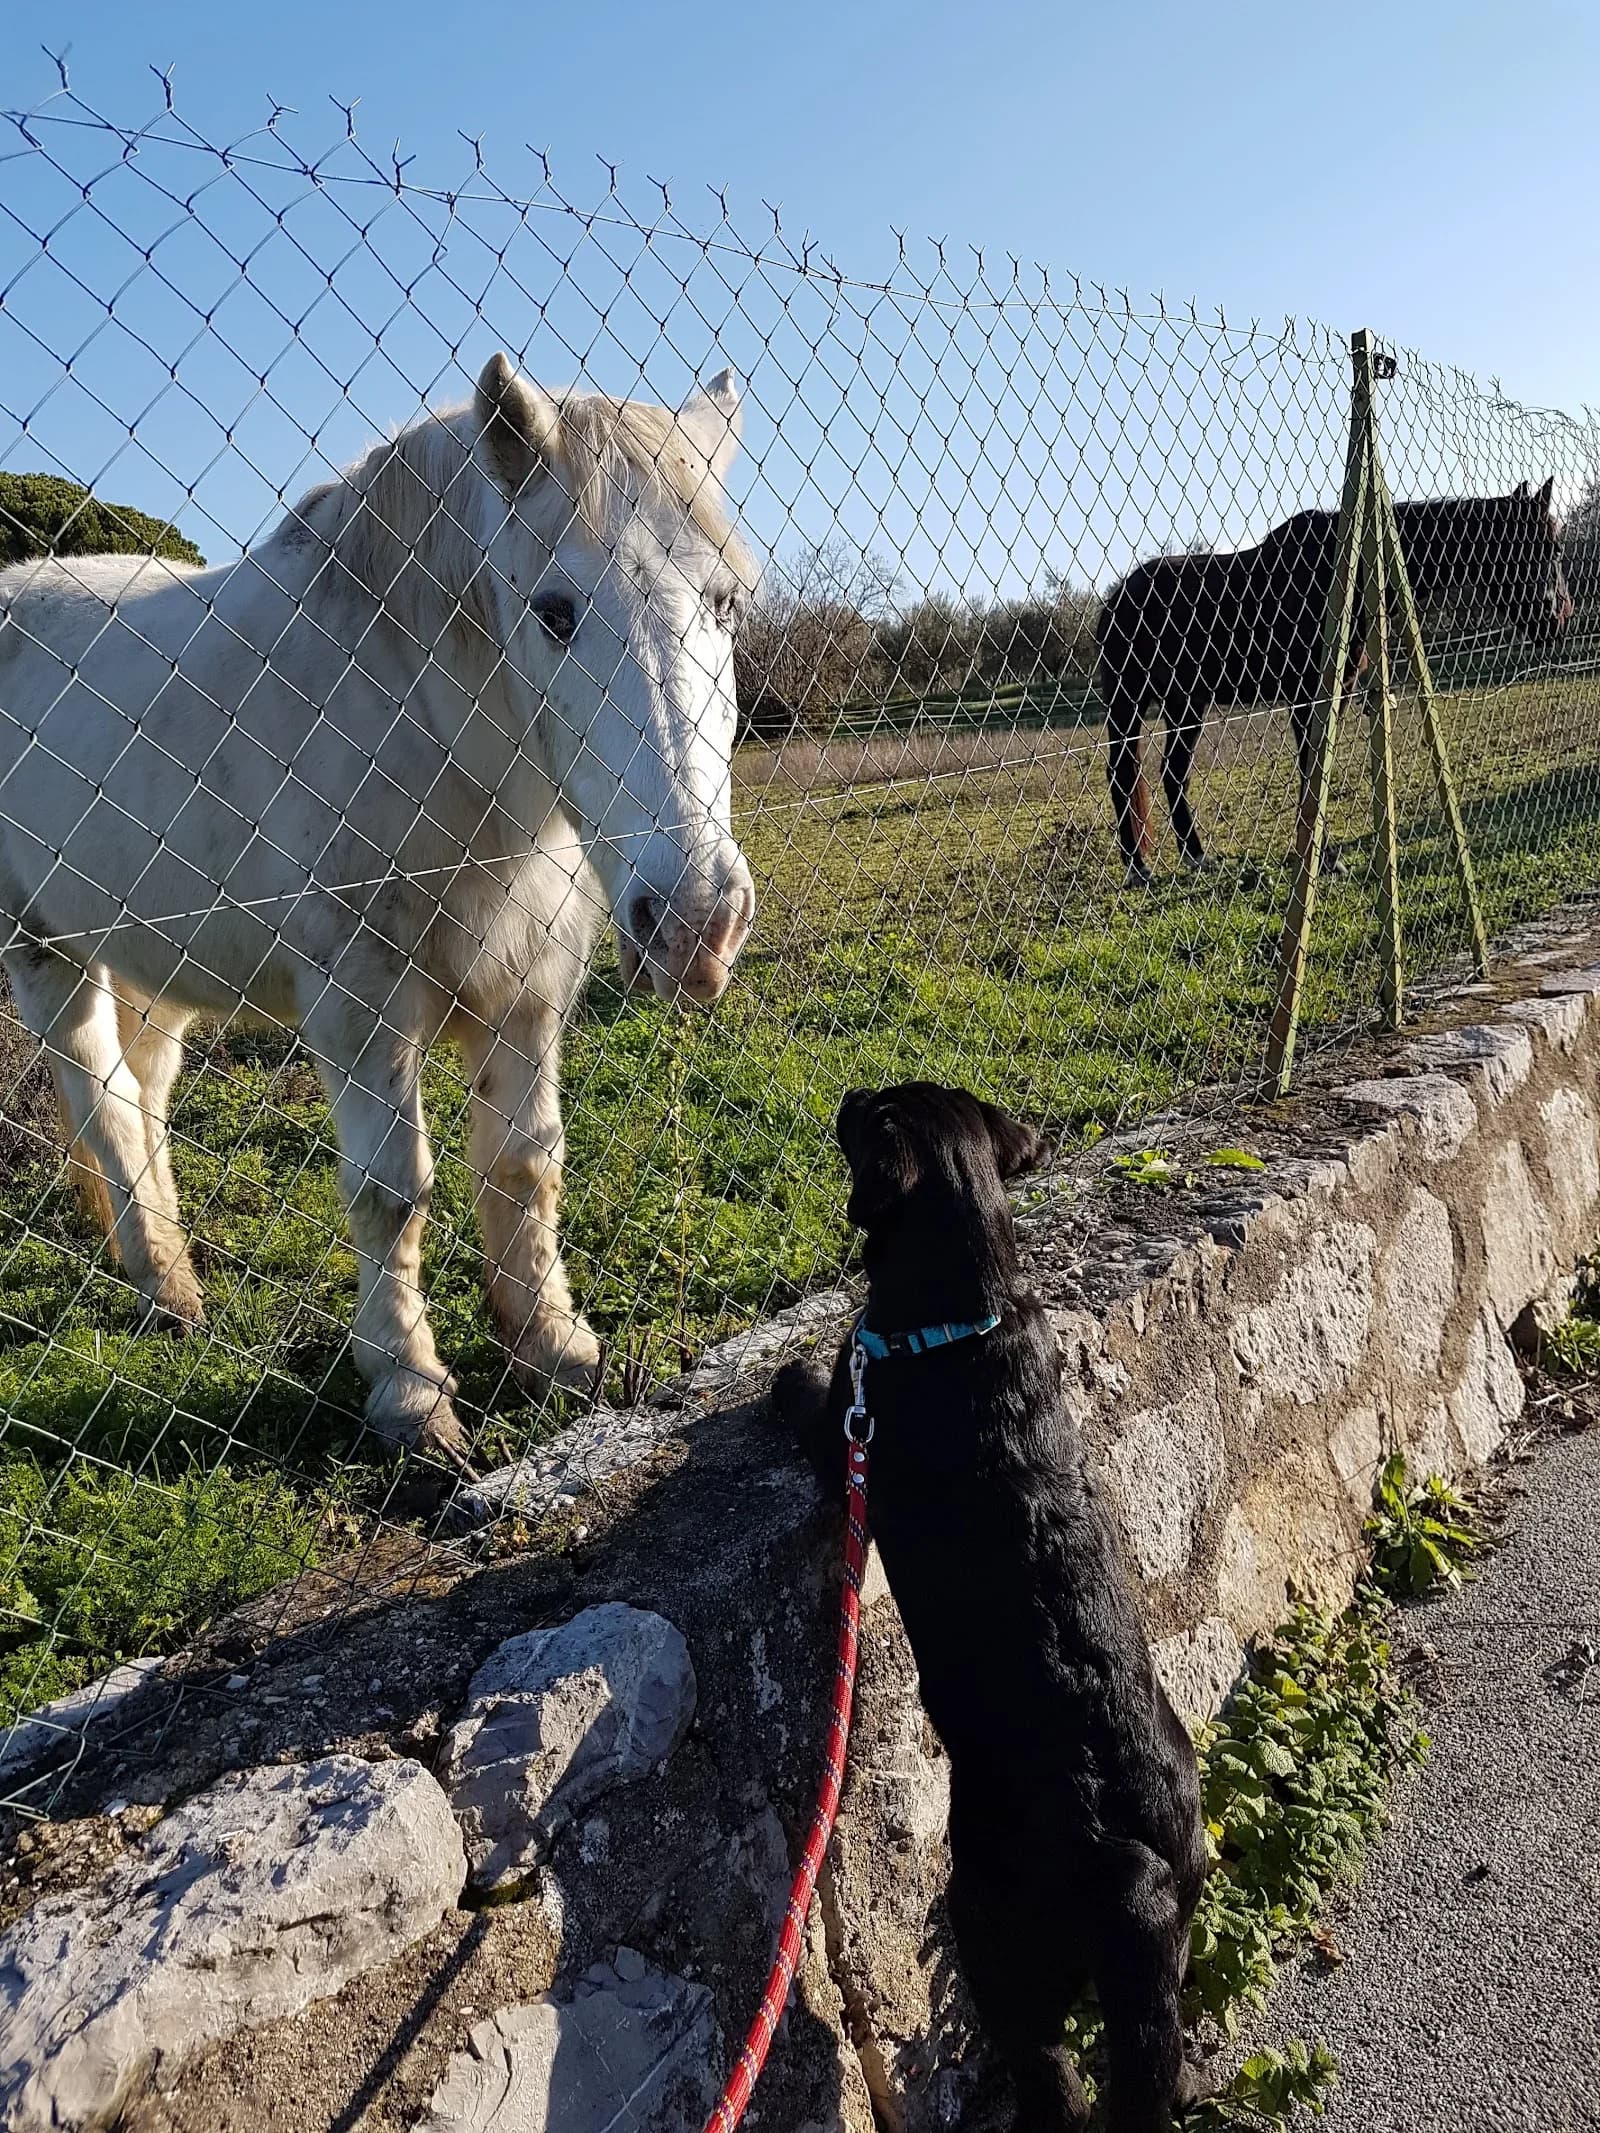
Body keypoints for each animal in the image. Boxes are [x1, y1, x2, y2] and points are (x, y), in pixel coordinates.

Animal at [0, 354, 758, 1464]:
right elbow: (390, 1192)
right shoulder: (358, 1001)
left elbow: (525, 1164)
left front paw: (553, 1347)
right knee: (99, 1100)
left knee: (143, 1097)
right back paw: (164, 1290)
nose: (697, 921)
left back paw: (171, 1270)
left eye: (725, 602)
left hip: (152, 963)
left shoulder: (528, 988)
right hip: (45, 951)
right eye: (555, 610)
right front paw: (410, 1393)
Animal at [1096, 479, 1574, 883]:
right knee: (1124, 773)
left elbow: (1317, 771)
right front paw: (1323, 859)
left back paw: (1197, 857)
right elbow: (1312, 771)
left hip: (1186, 704)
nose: (1558, 619)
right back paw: (1138, 868)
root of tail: (1116, 598)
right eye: (1545, 548)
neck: (1346, 573)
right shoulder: (1307, 698)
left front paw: (1323, 857)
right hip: (1129, 704)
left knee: (1173, 771)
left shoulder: (1334, 696)